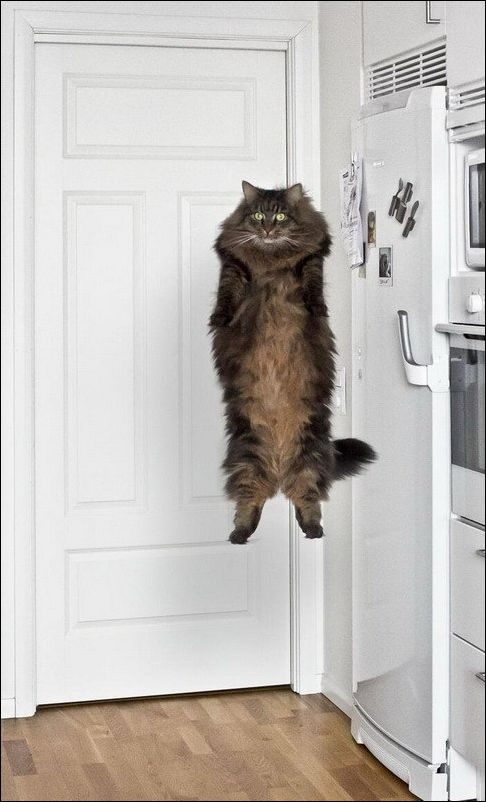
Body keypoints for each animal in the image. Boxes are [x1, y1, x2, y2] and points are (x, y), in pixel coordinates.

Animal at [209, 181, 376, 543]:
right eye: (259, 215)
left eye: (282, 216)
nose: (268, 229)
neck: (272, 257)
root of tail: (278, 468)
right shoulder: (233, 268)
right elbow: (226, 294)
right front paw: (219, 318)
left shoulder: (311, 263)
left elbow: (313, 287)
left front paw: (318, 309)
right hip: (247, 454)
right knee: (250, 501)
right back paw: (240, 534)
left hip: (308, 454)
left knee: (306, 500)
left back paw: (313, 530)